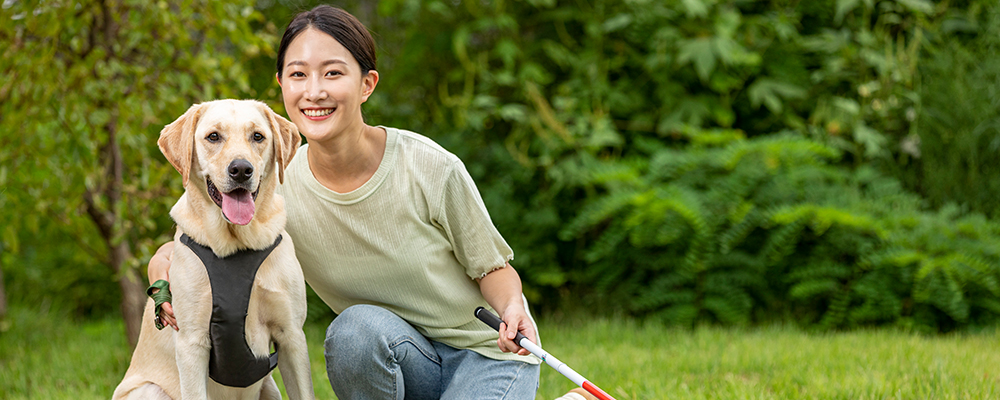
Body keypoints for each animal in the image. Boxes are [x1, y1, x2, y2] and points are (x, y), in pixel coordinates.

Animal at [112, 100, 312, 400]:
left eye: (258, 136)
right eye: (213, 137)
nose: (241, 169)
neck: (236, 245)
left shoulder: (292, 336)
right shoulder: (192, 343)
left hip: (270, 386)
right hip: (150, 390)